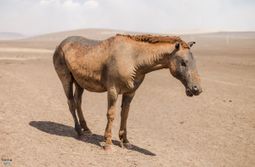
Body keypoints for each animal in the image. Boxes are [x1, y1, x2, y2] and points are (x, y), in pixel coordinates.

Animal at [52, 33, 202, 150]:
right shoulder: (113, 91)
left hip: (79, 83)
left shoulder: (130, 92)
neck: (134, 59)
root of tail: (61, 44)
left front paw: (125, 141)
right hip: (66, 79)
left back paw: (86, 129)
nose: (197, 89)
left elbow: (125, 114)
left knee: (78, 102)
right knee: (71, 103)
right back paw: (79, 131)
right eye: (183, 62)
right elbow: (111, 114)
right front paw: (108, 143)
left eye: (194, 61)